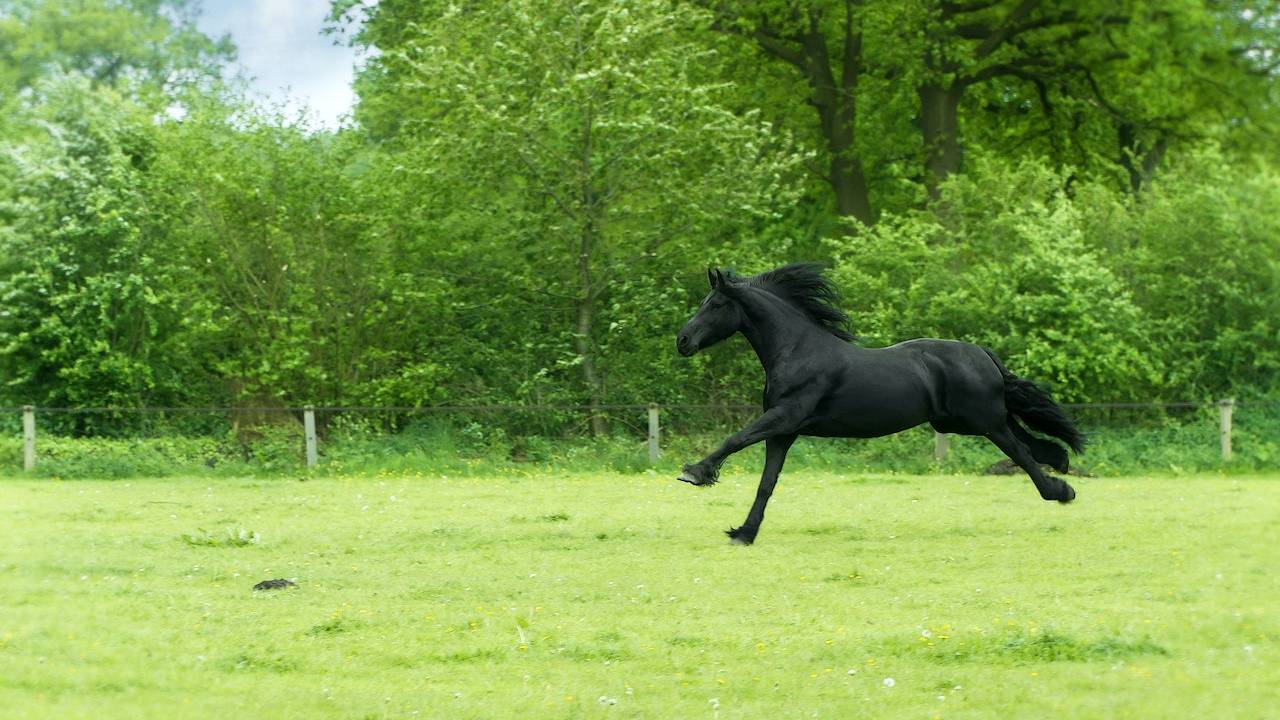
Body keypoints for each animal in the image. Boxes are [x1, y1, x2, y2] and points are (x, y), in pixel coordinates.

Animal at [675, 263, 1085, 543]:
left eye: (714, 305)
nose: (682, 341)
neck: (797, 351)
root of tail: (982, 353)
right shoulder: (784, 432)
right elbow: (766, 483)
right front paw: (744, 532)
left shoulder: (785, 416)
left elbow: (736, 439)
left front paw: (695, 472)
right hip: (961, 421)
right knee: (1028, 441)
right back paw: (1061, 462)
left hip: (981, 420)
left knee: (1021, 451)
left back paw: (1060, 491)